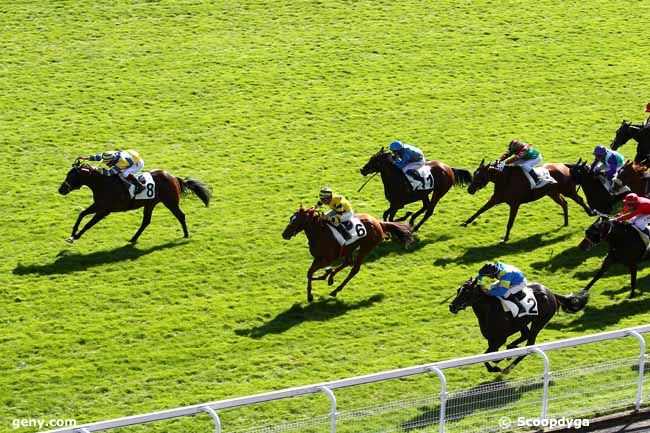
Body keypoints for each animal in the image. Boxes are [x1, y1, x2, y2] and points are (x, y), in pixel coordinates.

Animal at [57, 161, 210, 243]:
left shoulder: (104, 210)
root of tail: (173, 177)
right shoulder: (98, 205)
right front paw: (72, 233)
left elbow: (89, 224)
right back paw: (133, 238)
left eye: (71, 176)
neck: (103, 183)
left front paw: (75, 237)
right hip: (150, 203)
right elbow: (82, 214)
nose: (61, 189)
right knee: (146, 221)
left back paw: (186, 234)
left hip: (170, 202)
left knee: (180, 216)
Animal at [280, 207, 412, 302]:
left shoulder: (326, 259)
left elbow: (310, 273)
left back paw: (335, 290)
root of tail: (378, 222)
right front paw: (314, 289)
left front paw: (313, 292)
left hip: (365, 247)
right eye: (291, 218)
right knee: (348, 262)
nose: (284, 234)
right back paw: (331, 277)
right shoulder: (318, 258)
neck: (320, 233)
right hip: (350, 248)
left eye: (297, 220)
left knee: (354, 269)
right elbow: (310, 272)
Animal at [448, 276, 584, 372]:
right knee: (525, 335)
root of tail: (551, 293)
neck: (489, 311)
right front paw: (498, 362)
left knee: (530, 343)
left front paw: (496, 366)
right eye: (458, 290)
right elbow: (488, 355)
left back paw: (509, 366)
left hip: (539, 322)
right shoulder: (491, 339)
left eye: (466, 292)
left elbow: (489, 355)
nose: (452, 306)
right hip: (522, 322)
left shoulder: (500, 339)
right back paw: (512, 348)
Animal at [460, 159, 592, 241]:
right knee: (564, 203)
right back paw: (565, 223)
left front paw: (505, 238)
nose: (470, 190)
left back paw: (591, 212)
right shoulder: (496, 199)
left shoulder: (514, 204)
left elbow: (510, 222)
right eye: (474, 174)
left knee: (579, 200)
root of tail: (565, 167)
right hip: (552, 193)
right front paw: (466, 222)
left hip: (568, 190)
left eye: (479, 176)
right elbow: (480, 210)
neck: (505, 179)